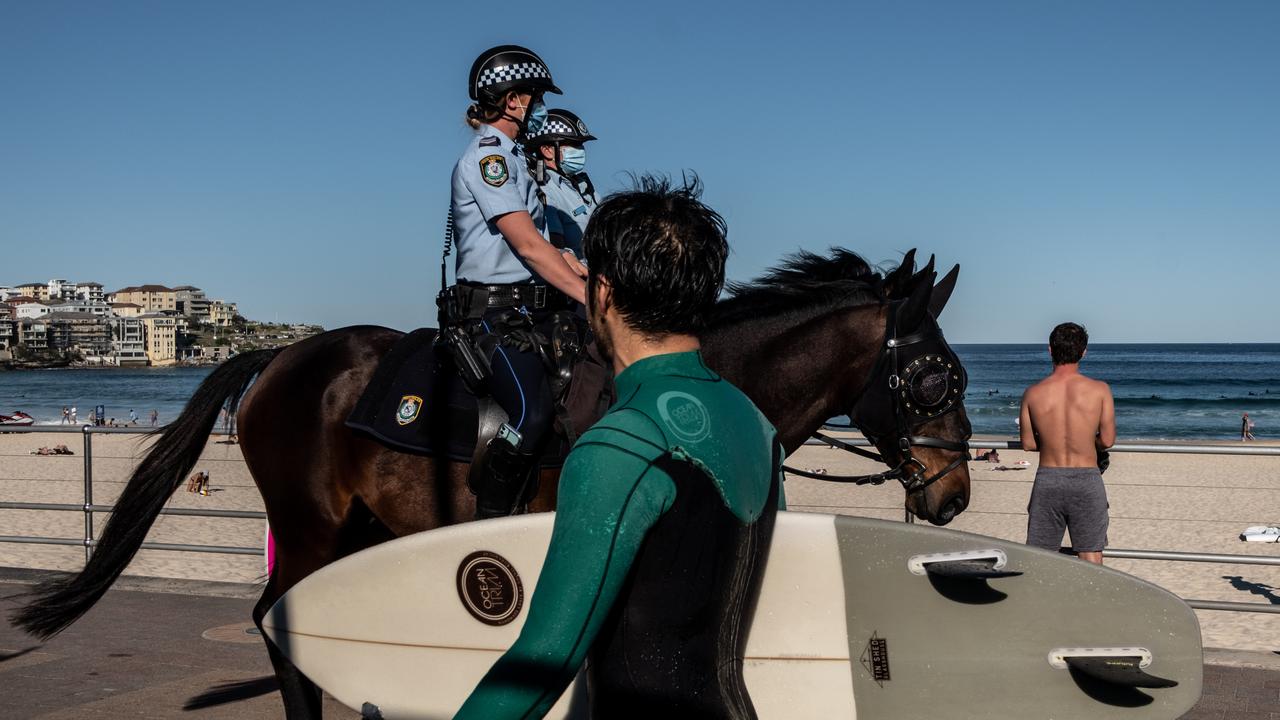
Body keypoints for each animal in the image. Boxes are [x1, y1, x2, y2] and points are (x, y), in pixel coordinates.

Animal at [10, 248, 967, 717]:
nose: (952, 494)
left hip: (362, 527)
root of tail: (280, 357)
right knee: (275, 616)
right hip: (313, 523)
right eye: (934, 379)